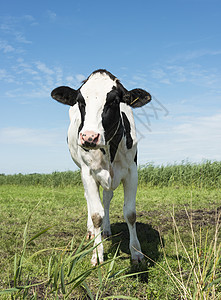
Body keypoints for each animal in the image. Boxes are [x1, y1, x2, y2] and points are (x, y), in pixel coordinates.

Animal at [51, 69, 151, 264]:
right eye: (81, 101)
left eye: (114, 100)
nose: (89, 137)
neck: (109, 150)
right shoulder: (88, 173)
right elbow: (96, 214)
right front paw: (97, 254)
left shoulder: (132, 171)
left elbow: (130, 213)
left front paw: (136, 253)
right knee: (90, 201)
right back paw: (91, 231)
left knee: (106, 199)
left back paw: (106, 230)